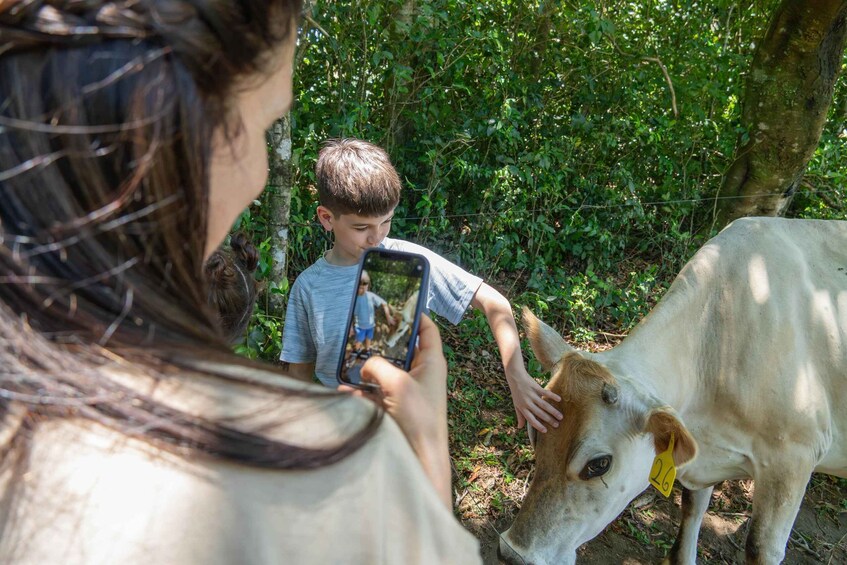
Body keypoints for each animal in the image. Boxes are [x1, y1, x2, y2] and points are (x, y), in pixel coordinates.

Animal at [500, 218, 844, 564]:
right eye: (534, 433)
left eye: (599, 464)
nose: (514, 553)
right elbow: (691, 510)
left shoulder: (794, 456)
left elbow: (760, 546)